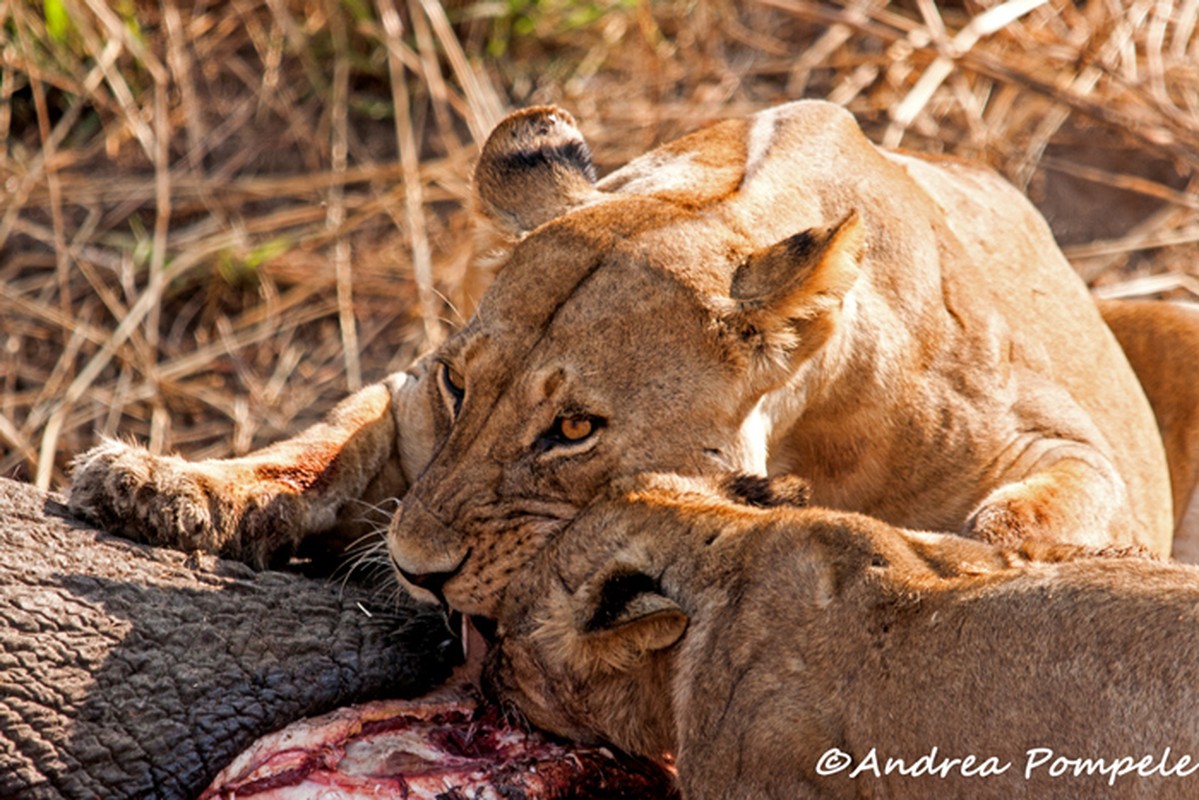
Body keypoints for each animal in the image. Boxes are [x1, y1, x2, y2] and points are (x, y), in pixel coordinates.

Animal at [70, 104, 1199, 594]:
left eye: (574, 429)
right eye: (460, 384)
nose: (417, 571)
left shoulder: (1063, 439)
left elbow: (1040, 507)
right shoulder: (410, 397)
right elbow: (324, 441)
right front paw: (166, 483)